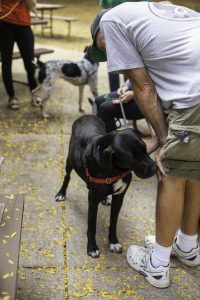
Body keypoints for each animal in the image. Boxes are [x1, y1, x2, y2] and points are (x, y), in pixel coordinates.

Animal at [55, 115, 157, 258]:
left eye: (145, 148)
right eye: (131, 158)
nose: (154, 169)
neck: (116, 170)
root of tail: (86, 116)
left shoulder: (119, 197)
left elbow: (113, 222)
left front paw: (113, 242)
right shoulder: (92, 200)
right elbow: (92, 226)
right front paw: (92, 247)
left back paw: (104, 198)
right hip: (69, 162)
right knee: (67, 177)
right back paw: (61, 193)